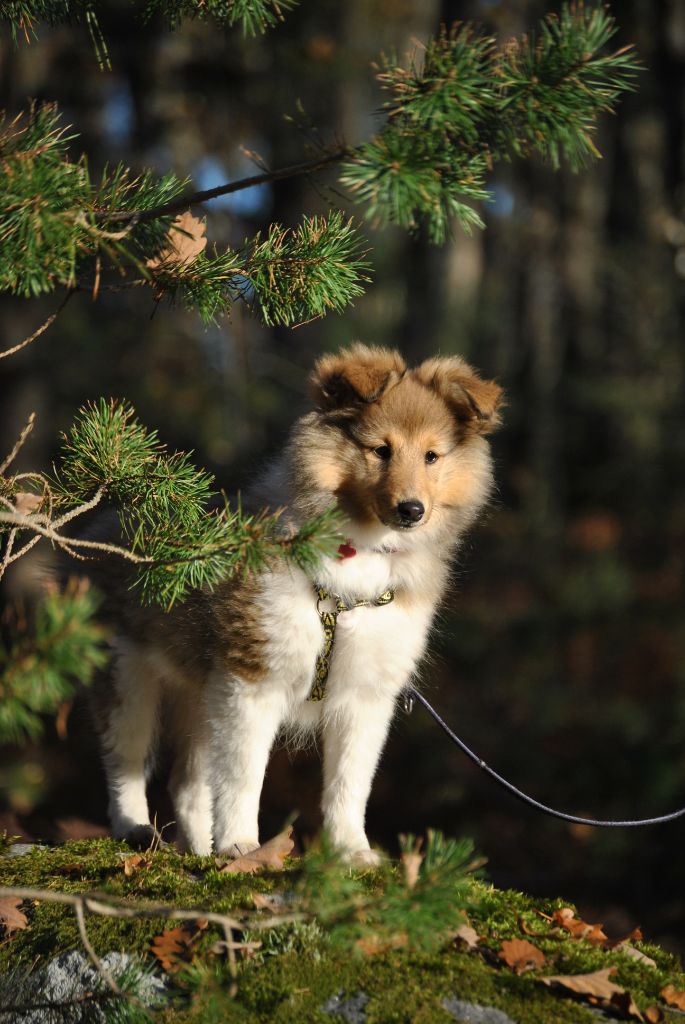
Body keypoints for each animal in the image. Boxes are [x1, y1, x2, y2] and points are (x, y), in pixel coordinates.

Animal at [89, 346, 501, 864]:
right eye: (380, 450)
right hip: (127, 675)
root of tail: (112, 520)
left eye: (432, 455)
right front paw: (243, 845)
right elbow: (244, 775)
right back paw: (134, 828)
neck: (359, 556)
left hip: (199, 693)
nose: (411, 510)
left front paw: (352, 853)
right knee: (122, 757)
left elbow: (350, 784)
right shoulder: (250, 677)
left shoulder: (366, 694)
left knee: (186, 783)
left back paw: (199, 851)